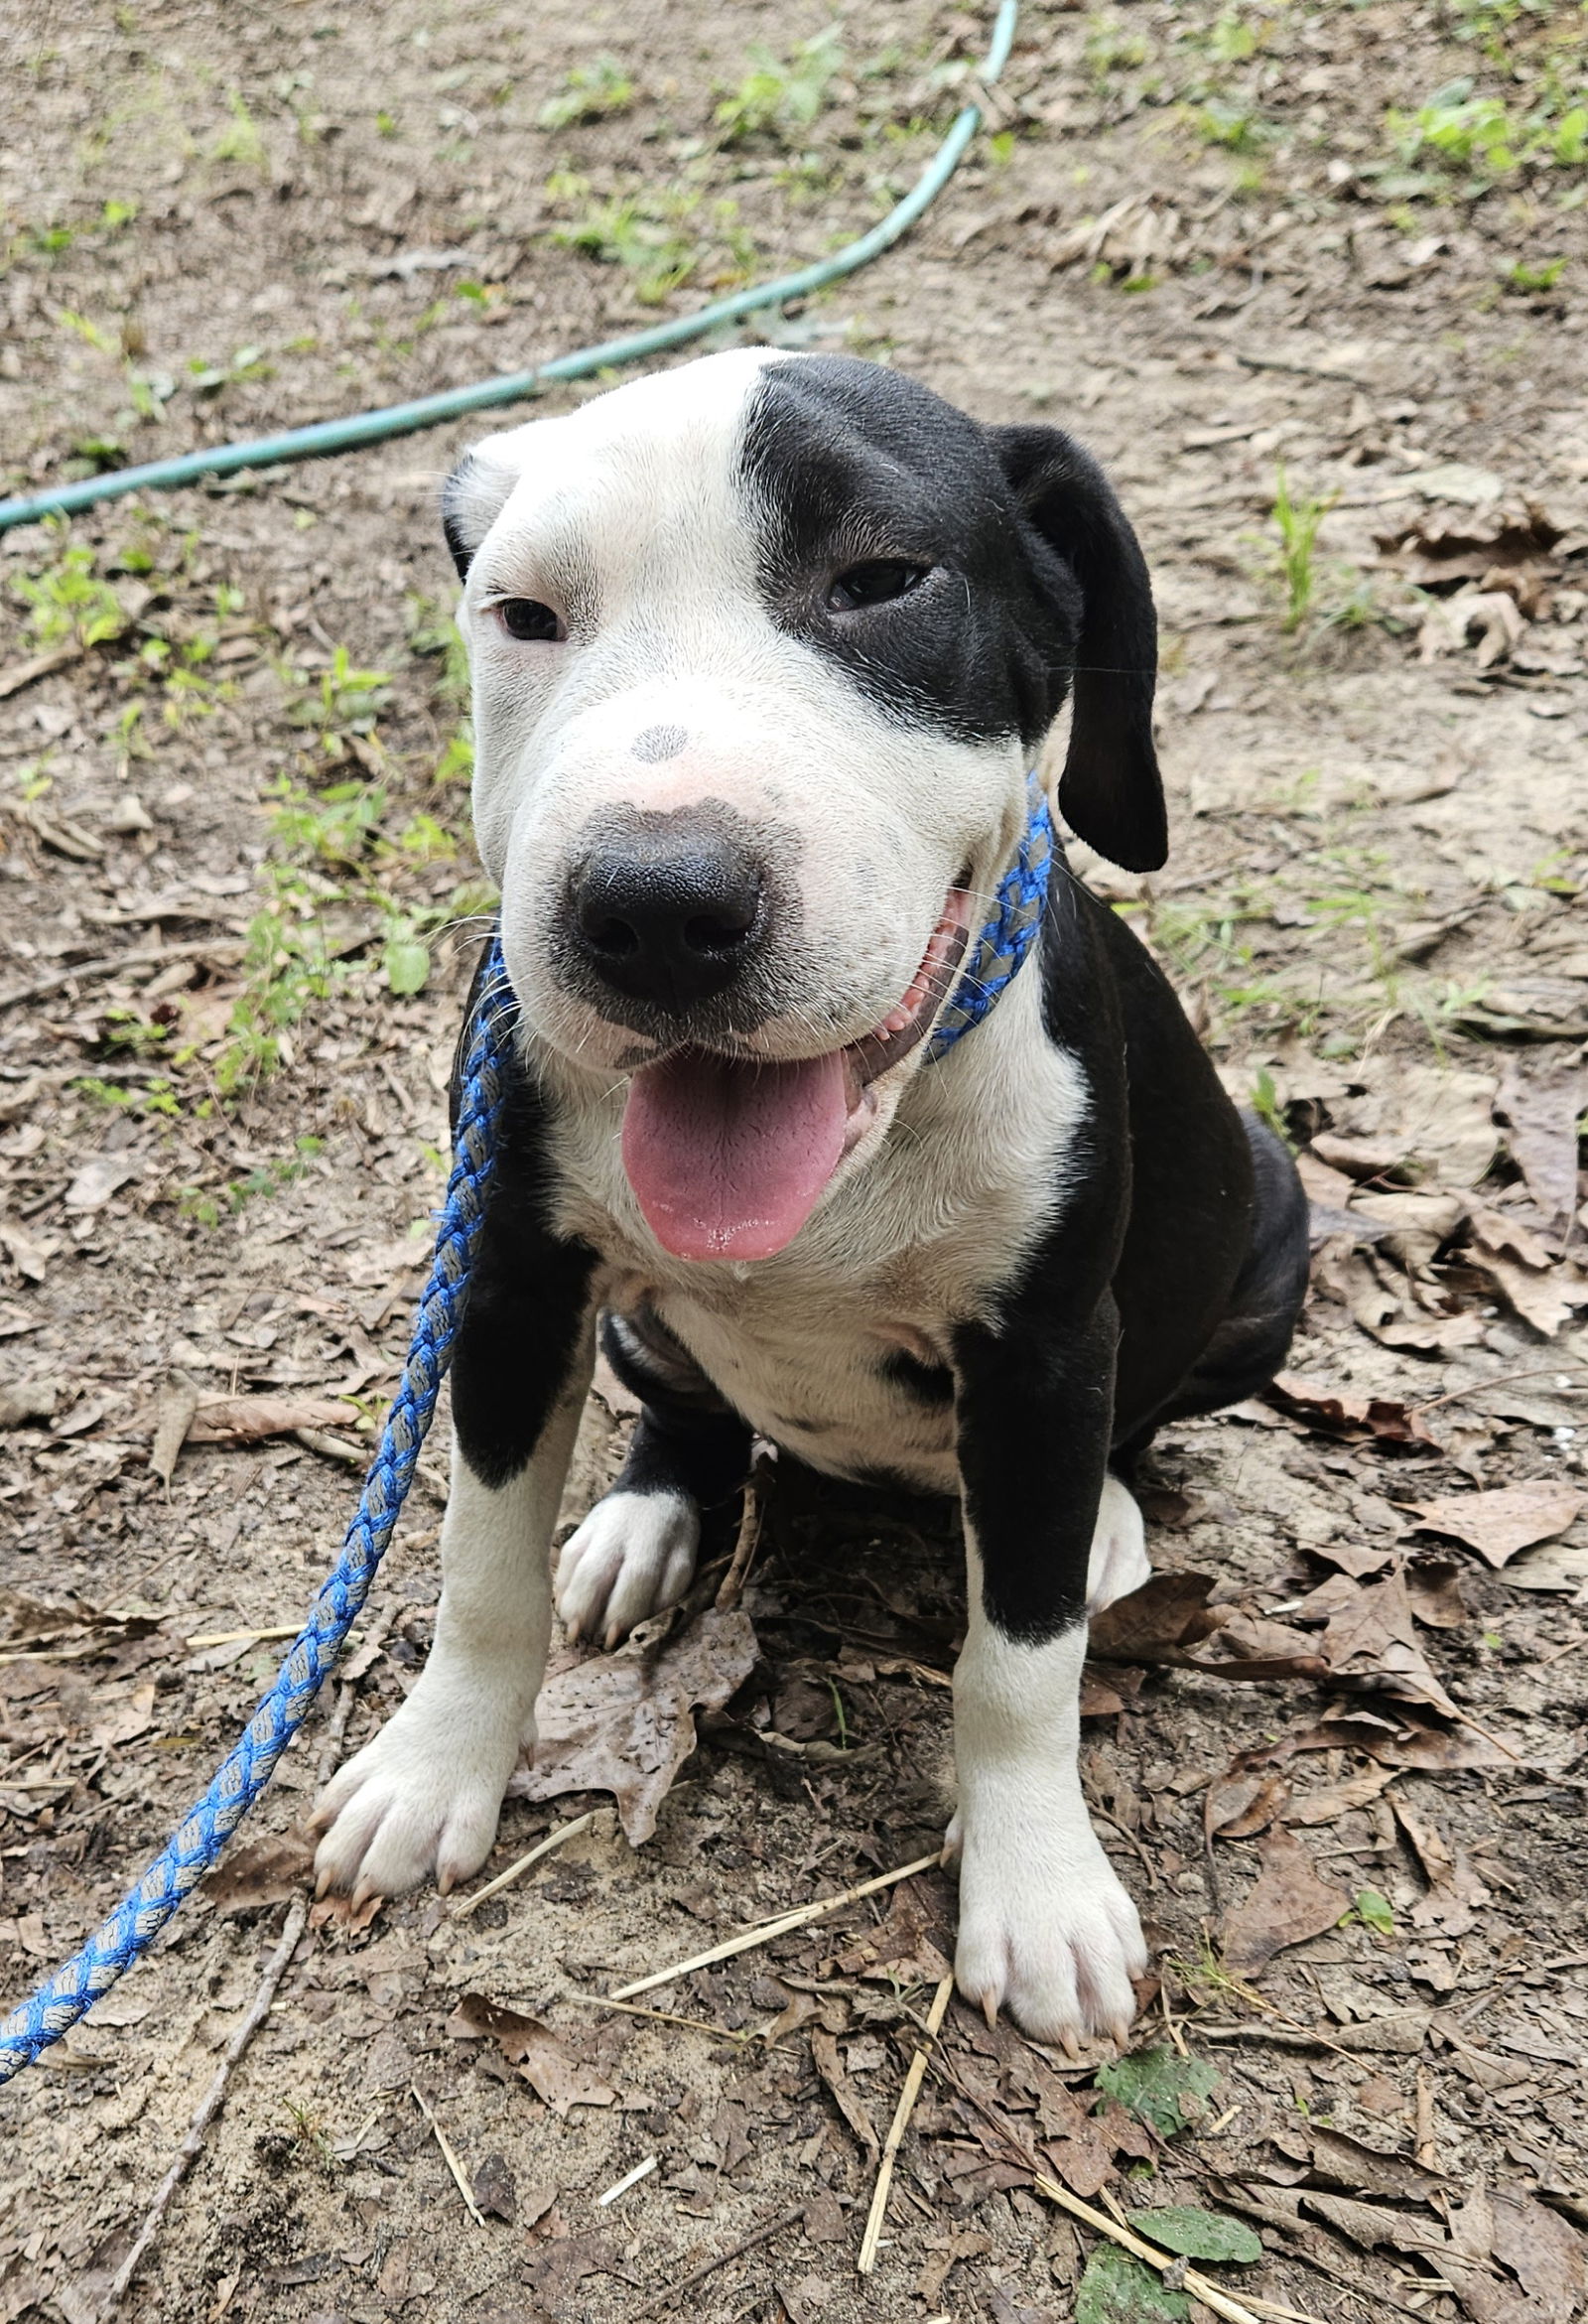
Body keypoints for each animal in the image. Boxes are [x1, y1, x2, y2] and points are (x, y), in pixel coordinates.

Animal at [311, 352, 1301, 2045]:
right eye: (524, 614)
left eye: (884, 579)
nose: (652, 906)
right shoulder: (506, 1286)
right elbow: (481, 1566)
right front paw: (437, 1769)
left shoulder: (1043, 1356)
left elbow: (1018, 1665)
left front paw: (1038, 1885)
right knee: (690, 1413)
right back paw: (641, 1524)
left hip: (1268, 1230)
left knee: (1130, 1440)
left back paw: (1105, 1526)